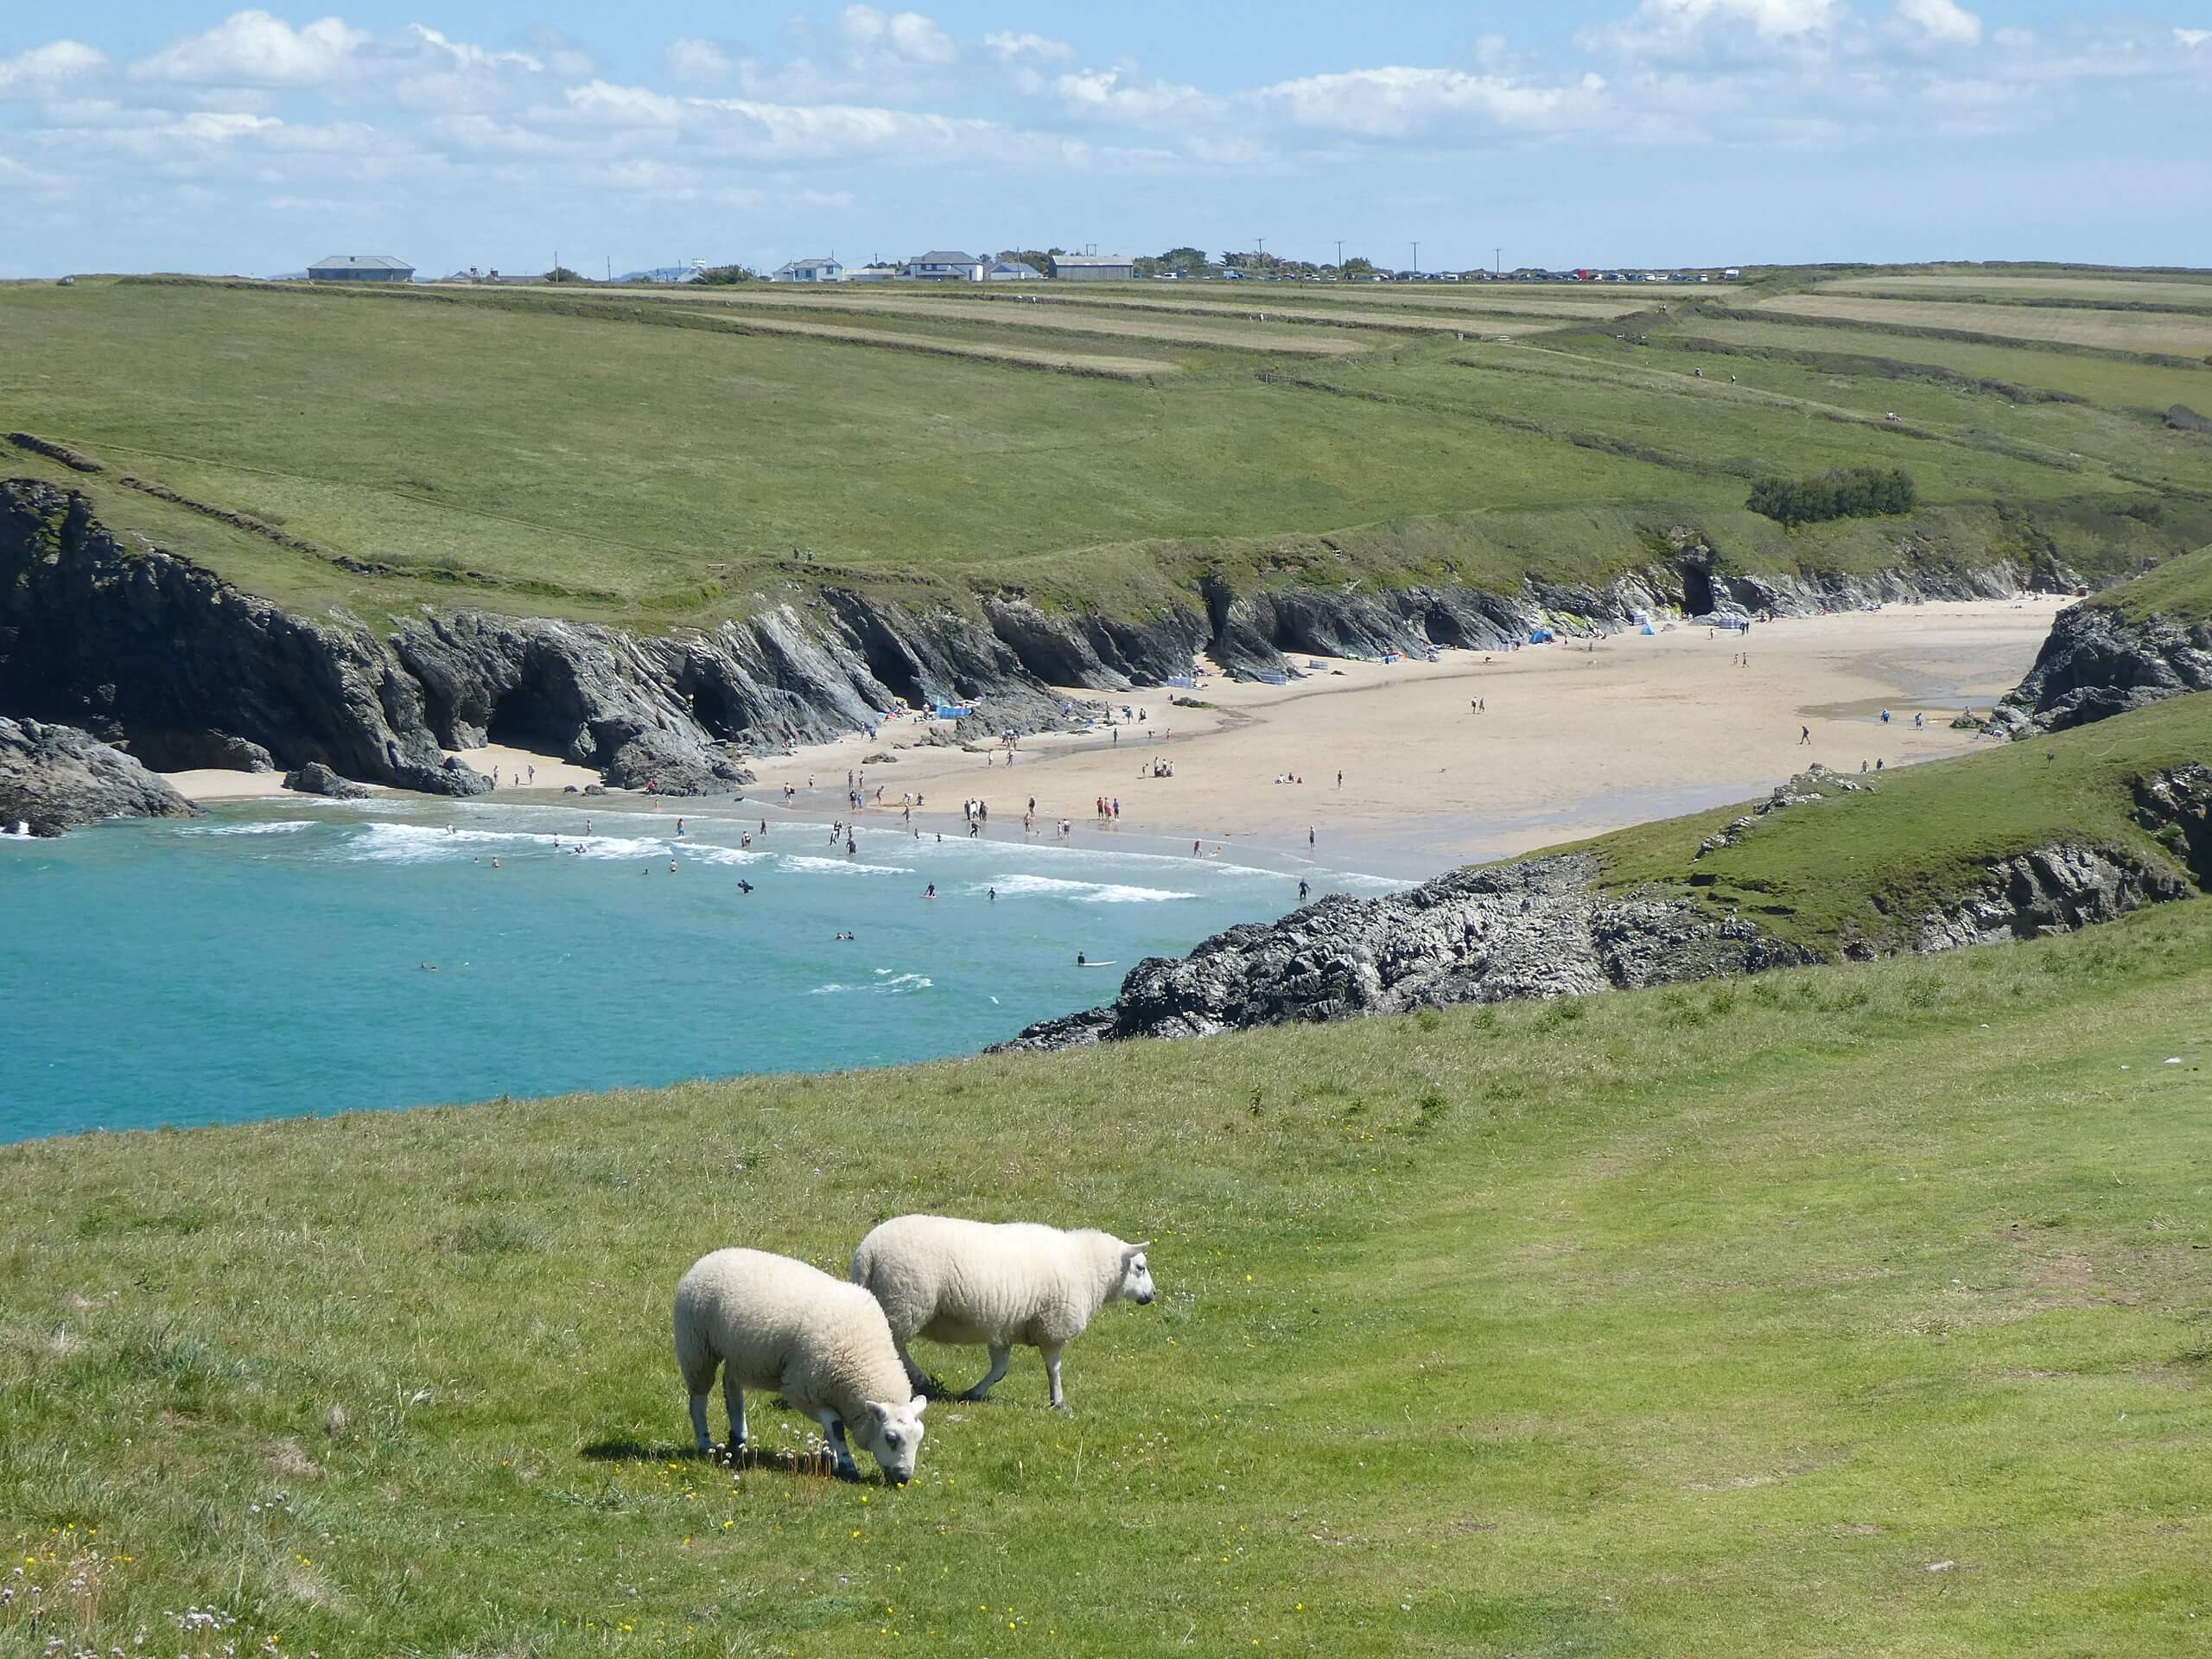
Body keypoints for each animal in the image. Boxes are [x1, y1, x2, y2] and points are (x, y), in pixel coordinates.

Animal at [664, 1247, 925, 1478]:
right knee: (698, 1401)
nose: (903, 1478)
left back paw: (738, 1437)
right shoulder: (802, 1389)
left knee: (731, 1385)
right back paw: (705, 1443)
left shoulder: (824, 1388)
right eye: (891, 1439)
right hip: (697, 1347)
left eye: (919, 1438)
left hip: (741, 1354)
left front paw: (830, 1458)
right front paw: (846, 1465)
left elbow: (830, 1430)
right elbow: (836, 1426)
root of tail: (708, 1258)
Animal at [849, 1221, 1159, 1415]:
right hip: (905, 1302)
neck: (1087, 1267)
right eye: (1140, 1267)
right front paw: (1058, 1402)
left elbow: (1000, 1370)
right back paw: (920, 1379)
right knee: (896, 1347)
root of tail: (869, 1252)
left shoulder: (1003, 1328)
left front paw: (973, 1393)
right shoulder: (1052, 1327)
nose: (1153, 1294)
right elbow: (1054, 1369)